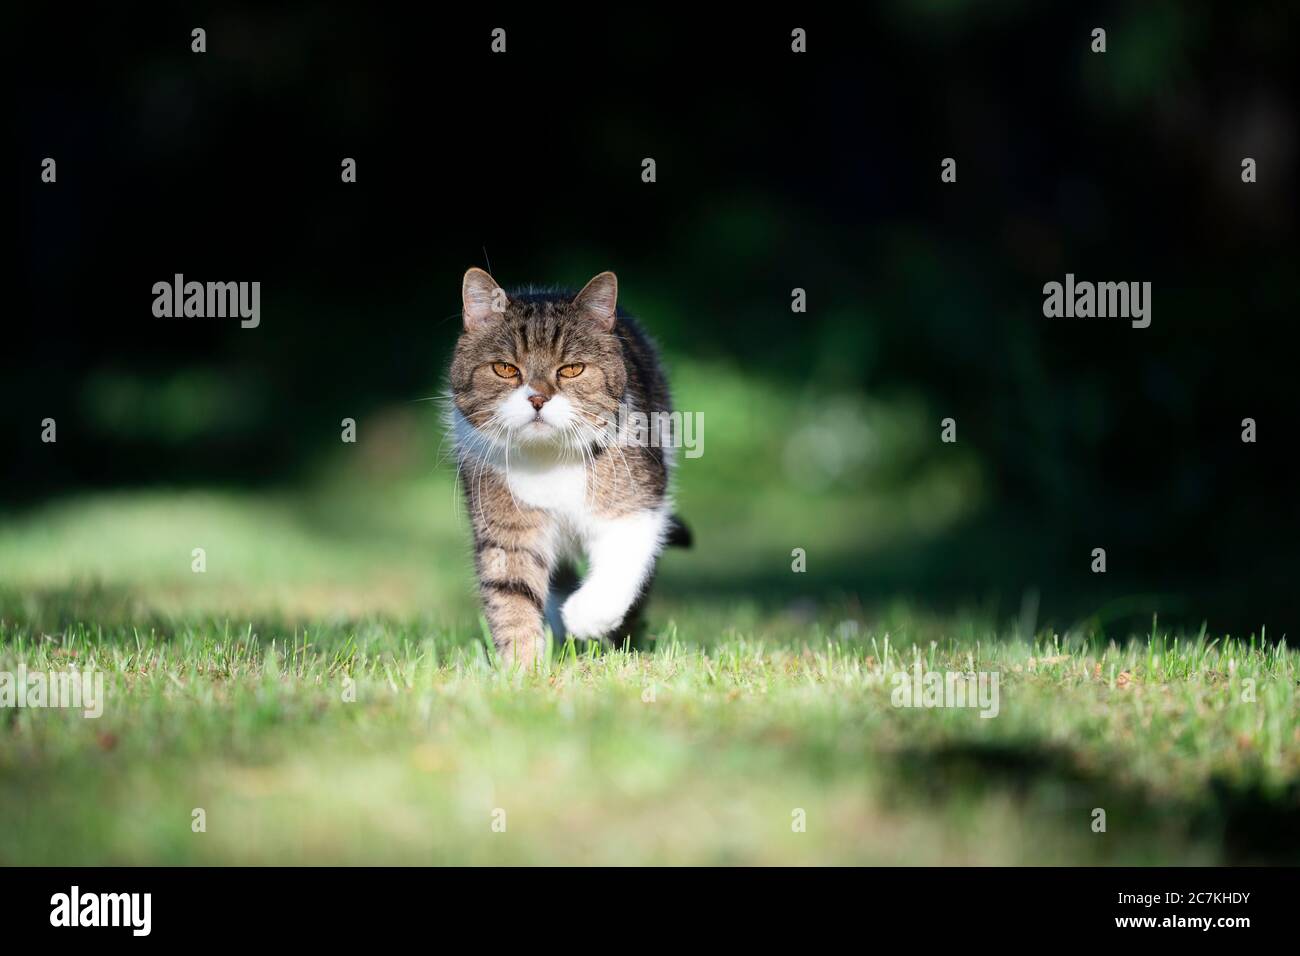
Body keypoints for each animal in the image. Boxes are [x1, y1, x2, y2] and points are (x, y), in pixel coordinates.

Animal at [447, 265, 691, 671]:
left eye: (572, 369)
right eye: (505, 369)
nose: (537, 398)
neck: (548, 458)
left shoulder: (637, 504)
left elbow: (622, 561)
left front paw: (587, 616)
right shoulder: (507, 529)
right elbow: (512, 594)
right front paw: (523, 669)